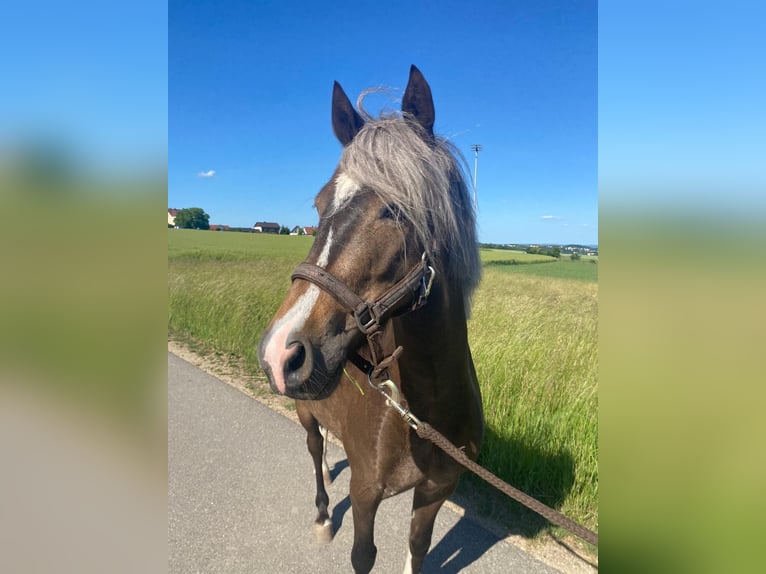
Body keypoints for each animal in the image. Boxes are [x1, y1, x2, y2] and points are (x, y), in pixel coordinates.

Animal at [258, 65, 484, 574]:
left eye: (396, 209)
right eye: (319, 205)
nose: (281, 352)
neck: (423, 411)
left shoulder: (437, 490)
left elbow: (419, 546)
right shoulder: (365, 494)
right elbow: (364, 554)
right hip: (305, 411)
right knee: (314, 449)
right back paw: (323, 513)